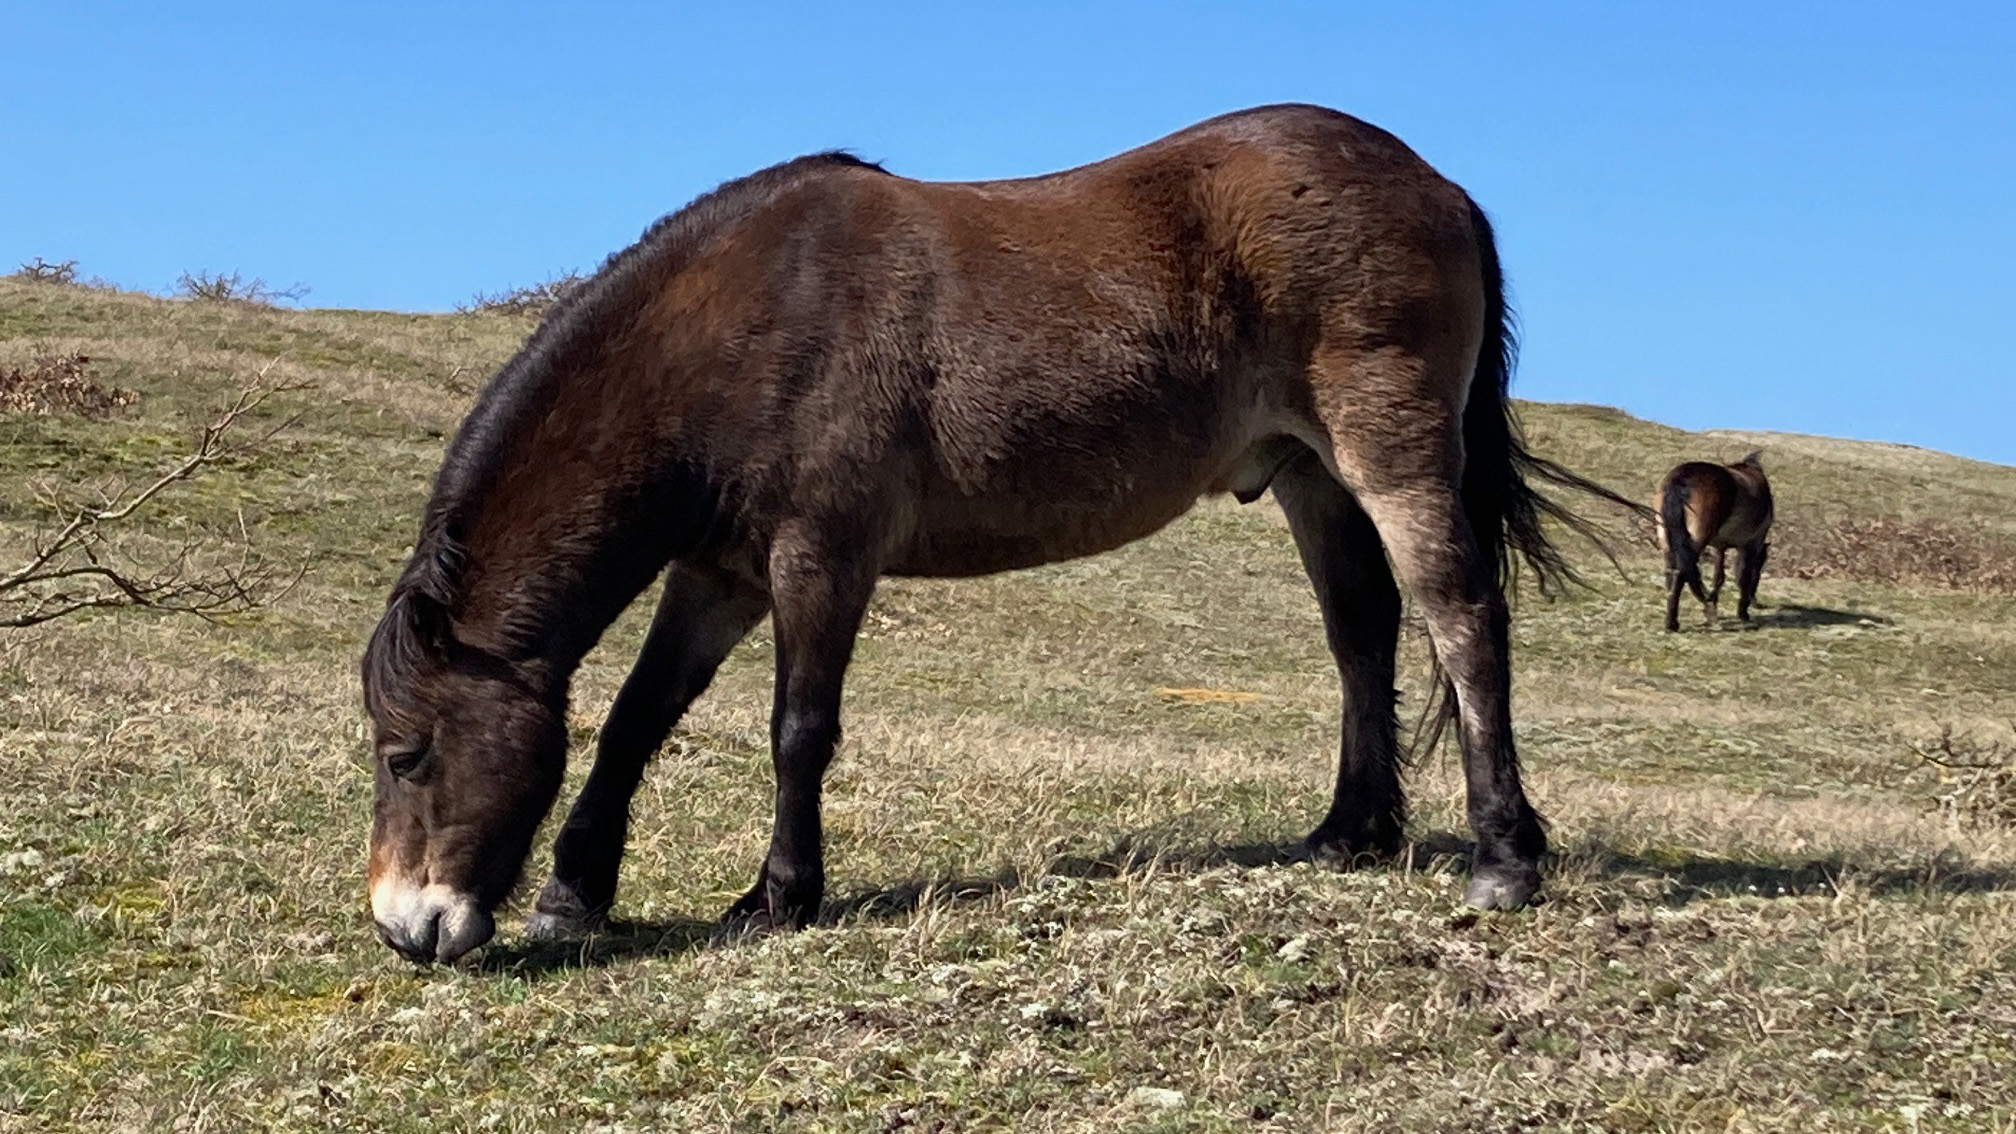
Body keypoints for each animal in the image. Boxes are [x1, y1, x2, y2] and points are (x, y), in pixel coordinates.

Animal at [358, 101, 1604, 956]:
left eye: (405, 752)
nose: (404, 926)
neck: (738, 325)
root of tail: (1436, 183)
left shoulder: (822, 557)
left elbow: (797, 730)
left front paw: (779, 895)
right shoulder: (720, 575)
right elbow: (634, 721)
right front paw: (574, 896)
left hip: (1390, 453)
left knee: (1461, 619)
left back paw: (1503, 856)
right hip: (1311, 476)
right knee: (1363, 634)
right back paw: (1354, 831)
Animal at [1661, 447, 1774, 625]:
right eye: (1761, 565)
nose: (1756, 602)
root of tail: (1682, 478)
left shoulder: (1719, 546)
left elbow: (1718, 576)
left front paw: (1713, 602)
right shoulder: (1751, 543)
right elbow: (1743, 574)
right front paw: (1743, 613)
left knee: (1671, 570)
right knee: (1682, 571)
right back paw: (1673, 623)